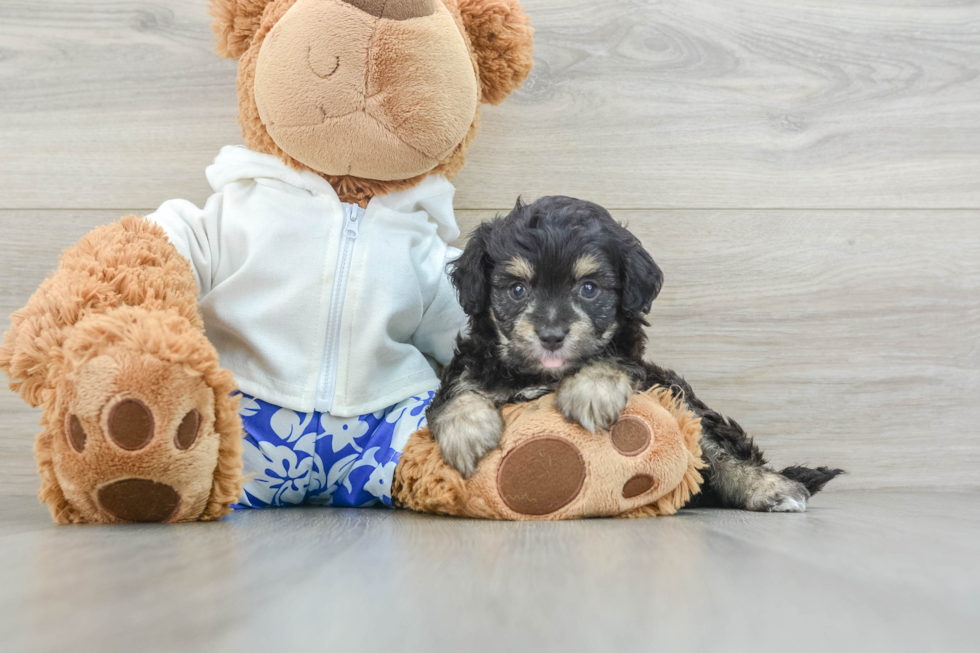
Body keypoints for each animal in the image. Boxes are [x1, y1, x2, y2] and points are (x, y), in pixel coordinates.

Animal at [428, 196, 844, 512]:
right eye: (517, 290)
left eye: (589, 288)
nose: (551, 336)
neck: (542, 375)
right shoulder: (470, 368)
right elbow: (457, 393)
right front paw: (467, 433)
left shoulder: (642, 373)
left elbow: (613, 360)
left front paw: (591, 391)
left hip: (683, 402)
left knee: (719, 450)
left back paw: (772, 488)